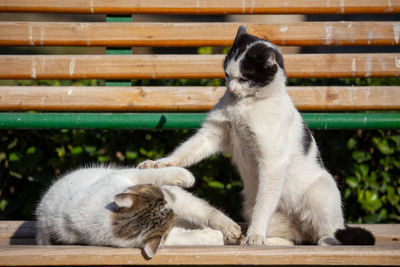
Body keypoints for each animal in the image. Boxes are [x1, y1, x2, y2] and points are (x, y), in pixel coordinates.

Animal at [36, 166, 242, 258]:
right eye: (169, 217)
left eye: (161, 198)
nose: (174, 211)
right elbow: (186, 238)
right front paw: (212, 236)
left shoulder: (127, 176)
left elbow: (155, 172)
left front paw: (185, 176)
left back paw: (229, 228)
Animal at [138, 26, 376, 248]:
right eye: (227, 74)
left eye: (244, 78)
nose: (231, 88)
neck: (245, 105)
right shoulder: (214, 133)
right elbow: (186, 152)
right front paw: (160, 164)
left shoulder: (272, 163)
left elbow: (264, 206)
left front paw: (254, 236)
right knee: (292, 240)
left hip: (321, 194)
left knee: (326, 234)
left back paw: (323, 240)